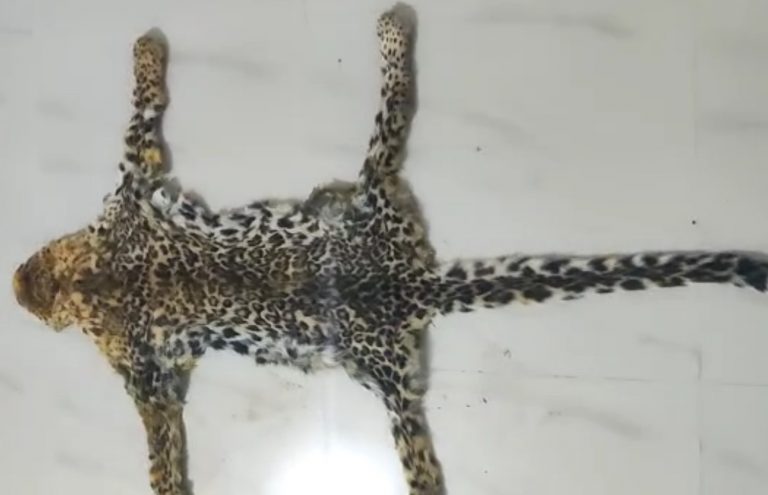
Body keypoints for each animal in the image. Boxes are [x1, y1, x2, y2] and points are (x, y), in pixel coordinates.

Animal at [11, 4, 768, 495]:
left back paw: (391, 29)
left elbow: (159, 447)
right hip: (380, 280)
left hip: (384, 340)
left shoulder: (133, 211)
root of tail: (407, 283)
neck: (82, 279)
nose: (16, 288)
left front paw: (146, 45)